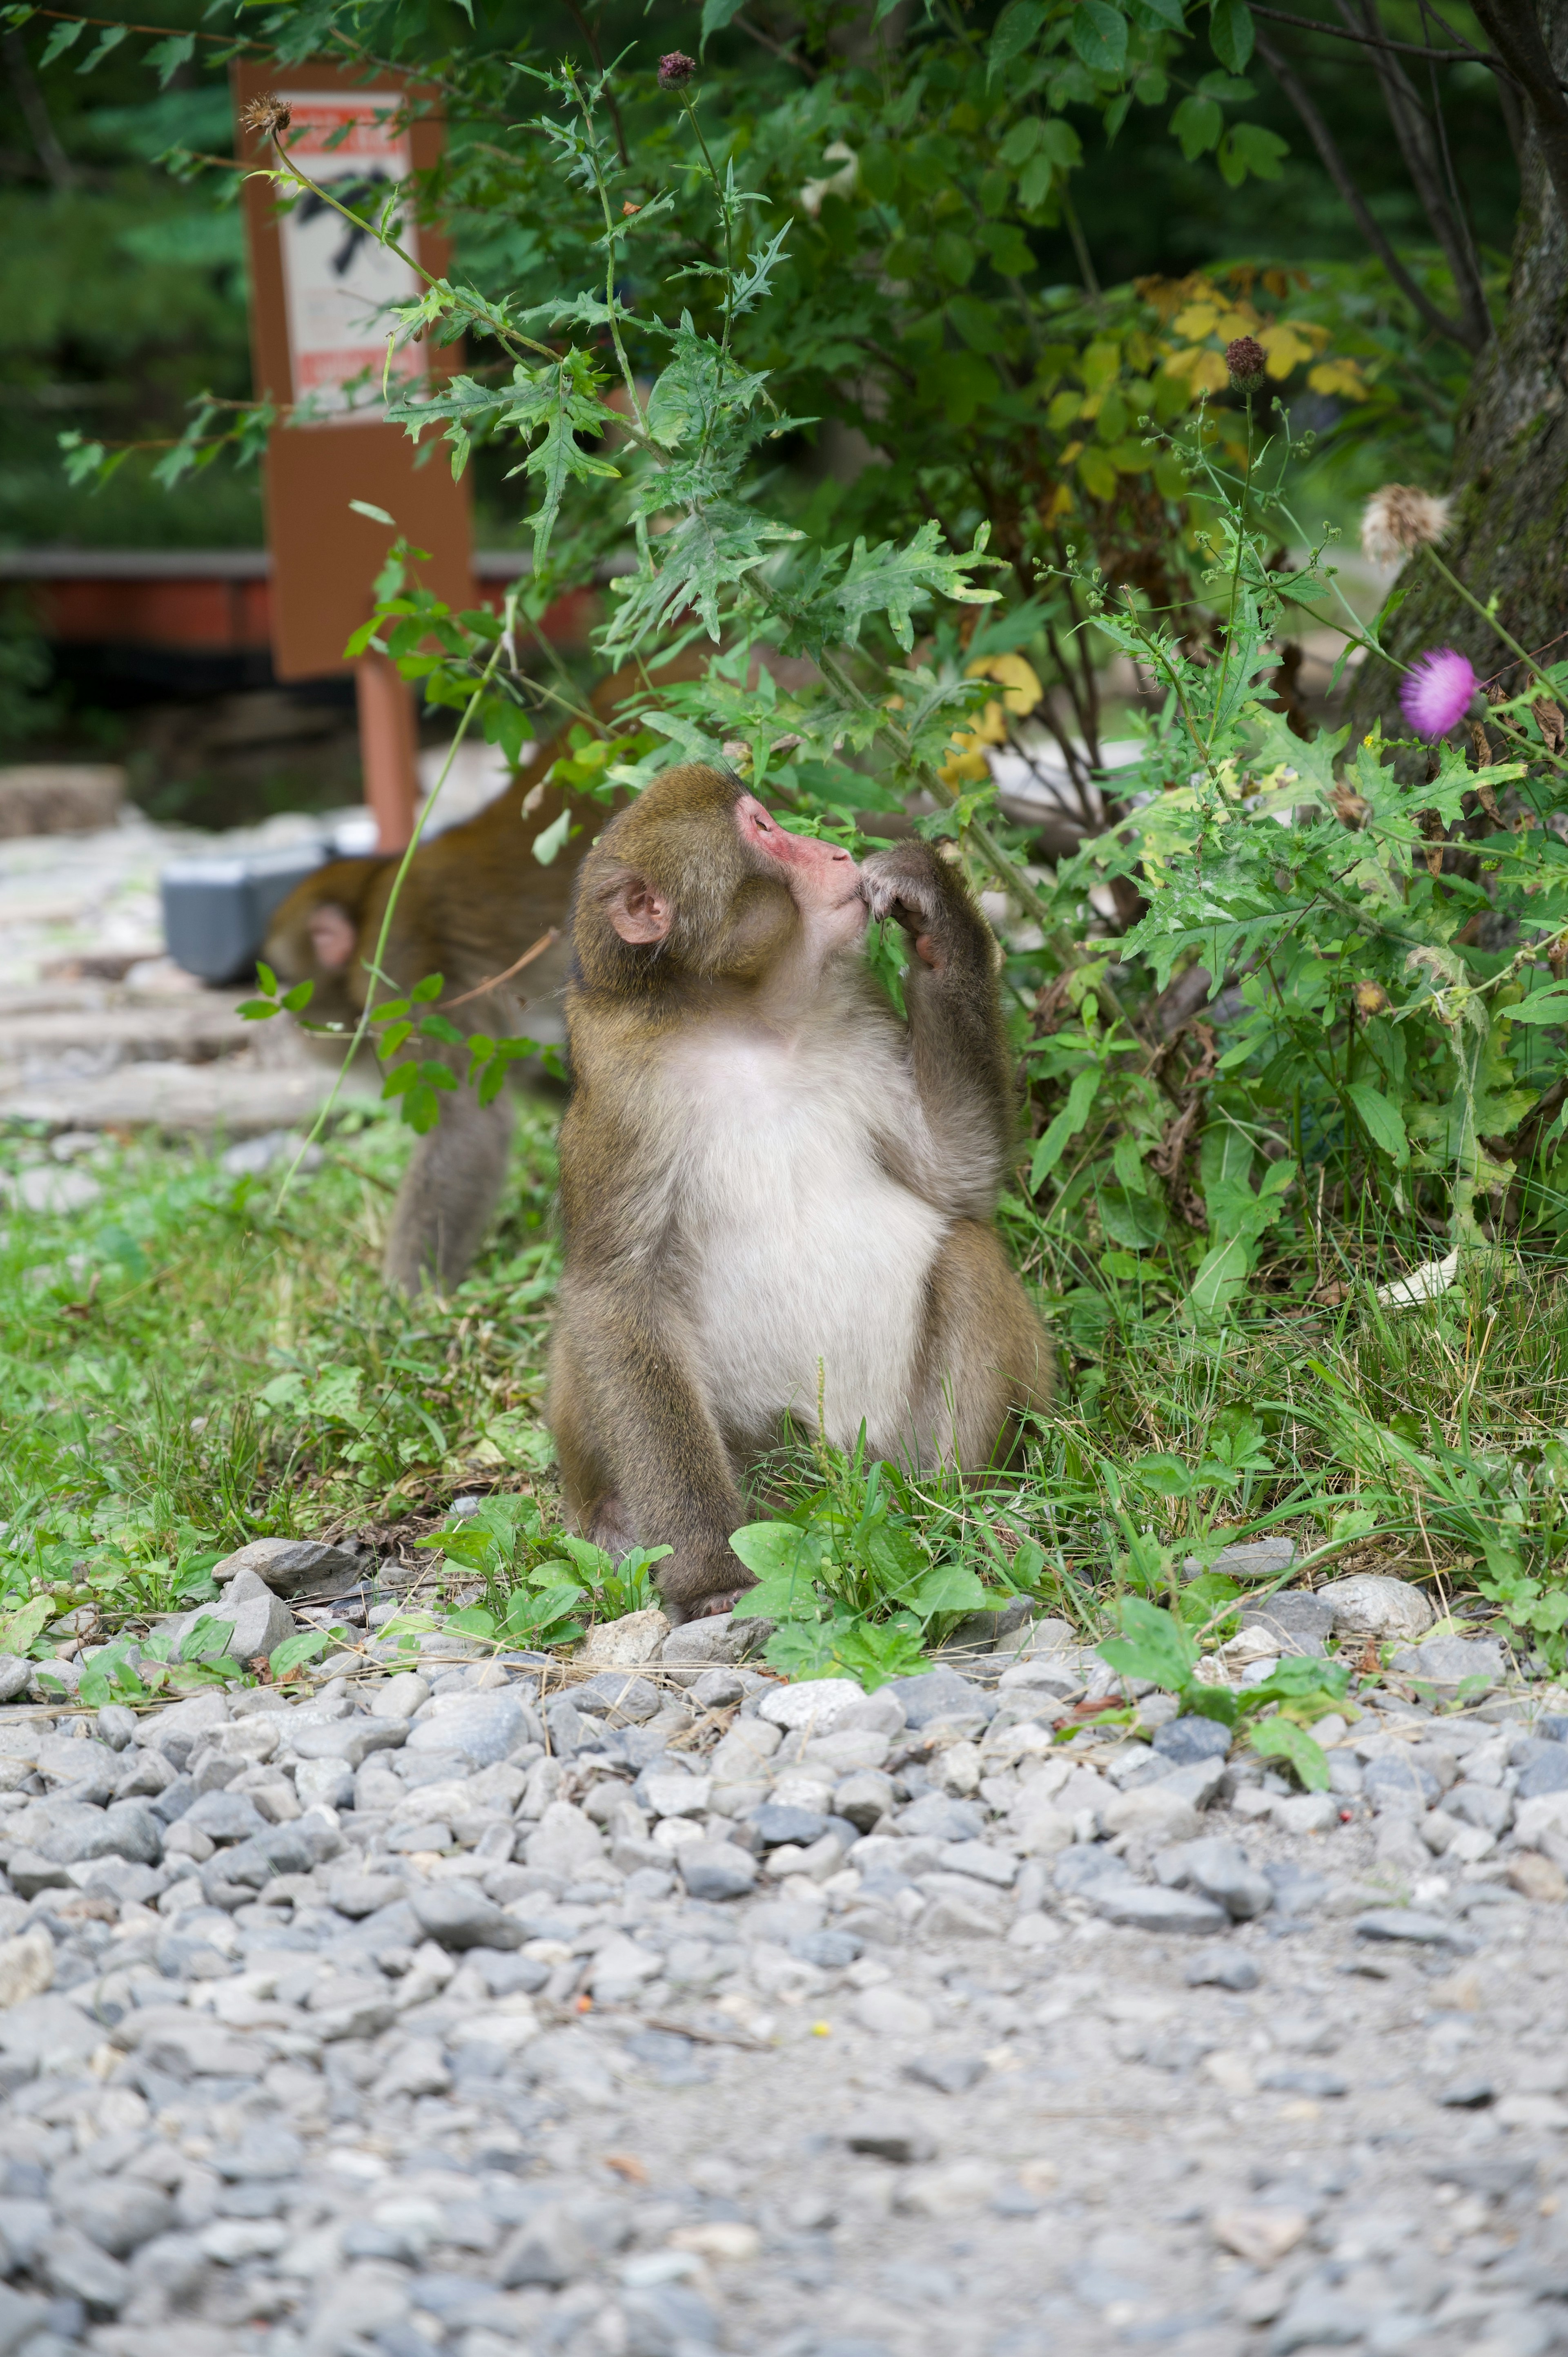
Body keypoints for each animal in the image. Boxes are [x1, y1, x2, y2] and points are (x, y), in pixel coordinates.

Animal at [547, 763, 1051, 1631]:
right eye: (765, 831)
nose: (836, 850)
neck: (745, 1019)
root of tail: (840, 1472)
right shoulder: (621, 1099)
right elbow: (614, 1293)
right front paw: (711, 1575)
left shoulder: (863, 1018)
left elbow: (958, 1178)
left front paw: (938, 915)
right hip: (767, 1469)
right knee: (584, 1337)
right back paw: (614, 1518)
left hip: (890, 1448)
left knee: (966, 1251)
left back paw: (957, 1505)